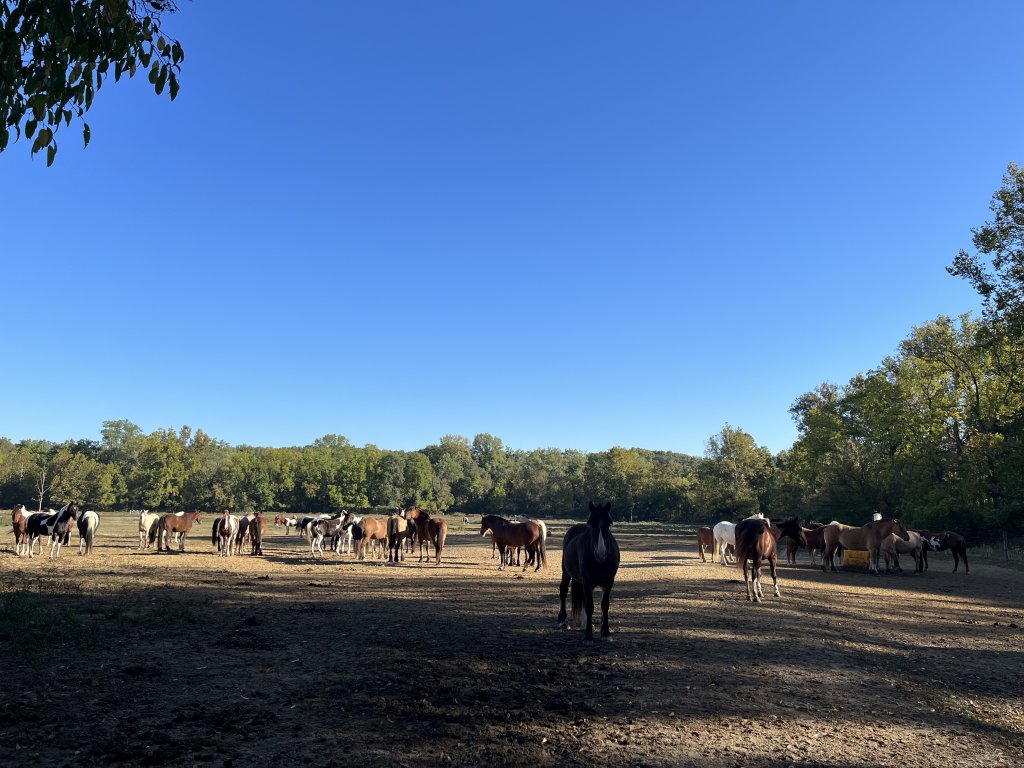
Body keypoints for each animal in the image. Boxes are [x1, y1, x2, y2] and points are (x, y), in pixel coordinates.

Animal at [557, 501, 618, 638]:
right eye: (591, 523)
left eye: (609, 523)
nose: (601, 553)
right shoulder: (587, 581)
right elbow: (589, 606)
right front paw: (588, 634)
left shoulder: (609, 581)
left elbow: (604, 604)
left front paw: (605, 631)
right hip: (566, 572)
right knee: (563, 590)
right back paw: (564, 621)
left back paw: (585, 624)